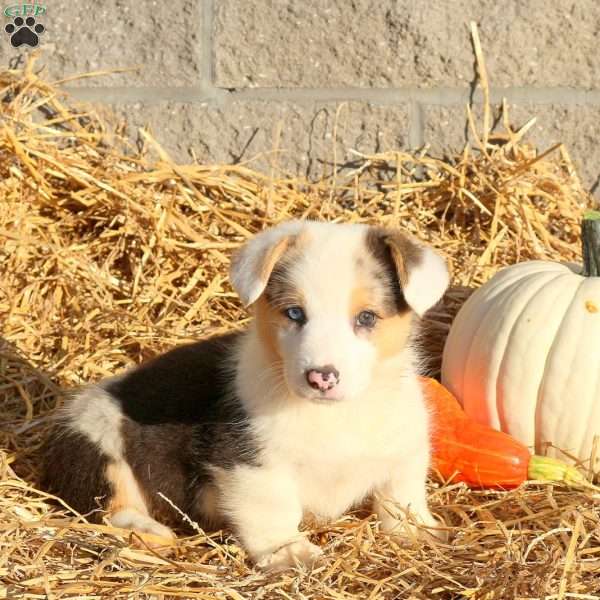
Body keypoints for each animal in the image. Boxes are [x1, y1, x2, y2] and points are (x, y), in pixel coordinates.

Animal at [42, 221, 448, 572]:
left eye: (366, 318)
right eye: (294, 313)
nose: (321, 377)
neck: (333, 414)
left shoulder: (405, 451)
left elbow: (401, 497)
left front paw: (419, 531)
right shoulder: (249, 465)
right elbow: (273, 511)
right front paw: (290, 553)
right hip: (98, 444)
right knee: (108, 507)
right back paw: (147, 532)